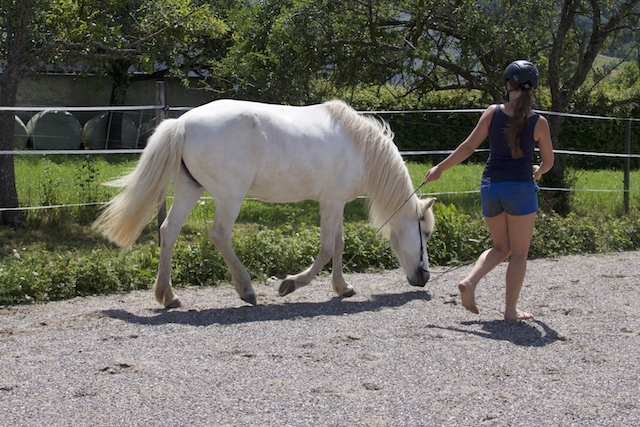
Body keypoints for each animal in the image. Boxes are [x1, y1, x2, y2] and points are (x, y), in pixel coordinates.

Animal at [94, 100, 436, 308]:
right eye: (426, 233)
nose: (424, 277)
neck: (360, 147)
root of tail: (183, 123)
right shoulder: (331, 202)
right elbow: (328, 248)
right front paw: (291, 284)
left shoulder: (335, 204)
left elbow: (338, 245)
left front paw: (342, 287)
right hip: (230, 196)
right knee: (219, 234)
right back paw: (246, 289)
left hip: (190, 189)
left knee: (169, 231)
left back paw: (168, 296)